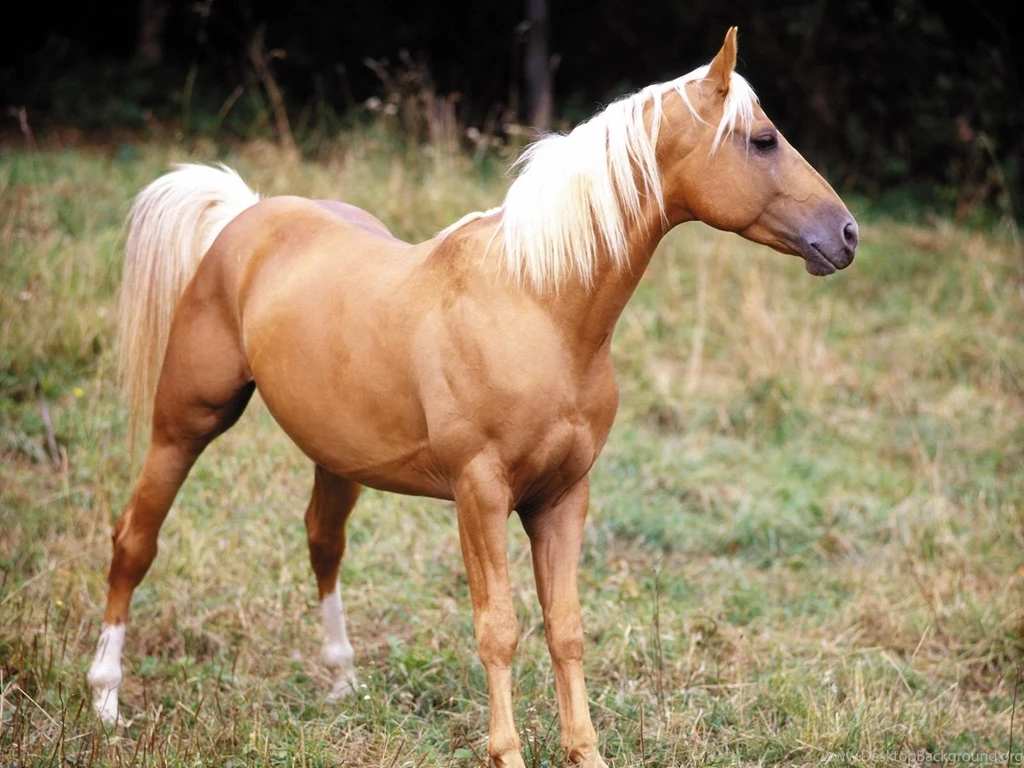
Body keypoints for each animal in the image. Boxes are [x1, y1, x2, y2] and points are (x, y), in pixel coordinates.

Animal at [88, 28, 857, 767]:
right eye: (763, 139)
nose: (846, 234)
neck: (537, 304)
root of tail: (244, 219)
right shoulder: (480, 493)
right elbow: (499, 629)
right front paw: (507, 753)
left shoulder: (563, 497)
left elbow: (566, 629)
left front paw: (584, 751)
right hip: (184, 424)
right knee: (135, 540)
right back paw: (106, 699)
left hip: (337, 457)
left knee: (322, 543)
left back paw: (341, 680)